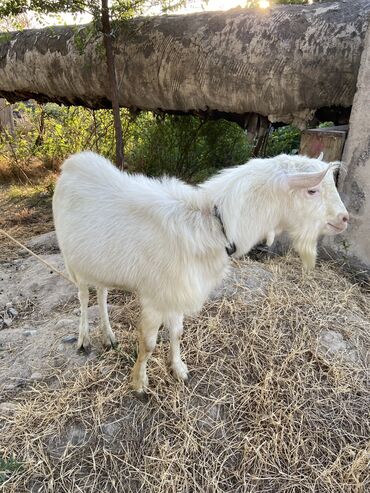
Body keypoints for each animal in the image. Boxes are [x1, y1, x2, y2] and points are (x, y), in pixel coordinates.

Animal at [53, 152, 348, 390]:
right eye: (312, 191)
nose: (345, 219)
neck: (211, 224)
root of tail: (72, 162)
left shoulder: (177, 292)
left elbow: (176, 332)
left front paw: (179, 369)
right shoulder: (154, 297)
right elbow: (148, 343)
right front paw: (139, 383)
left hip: (99, 262)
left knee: (102, 294)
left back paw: (110, 336)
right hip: (71, 259)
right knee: (83, 297)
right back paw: (84, 339)